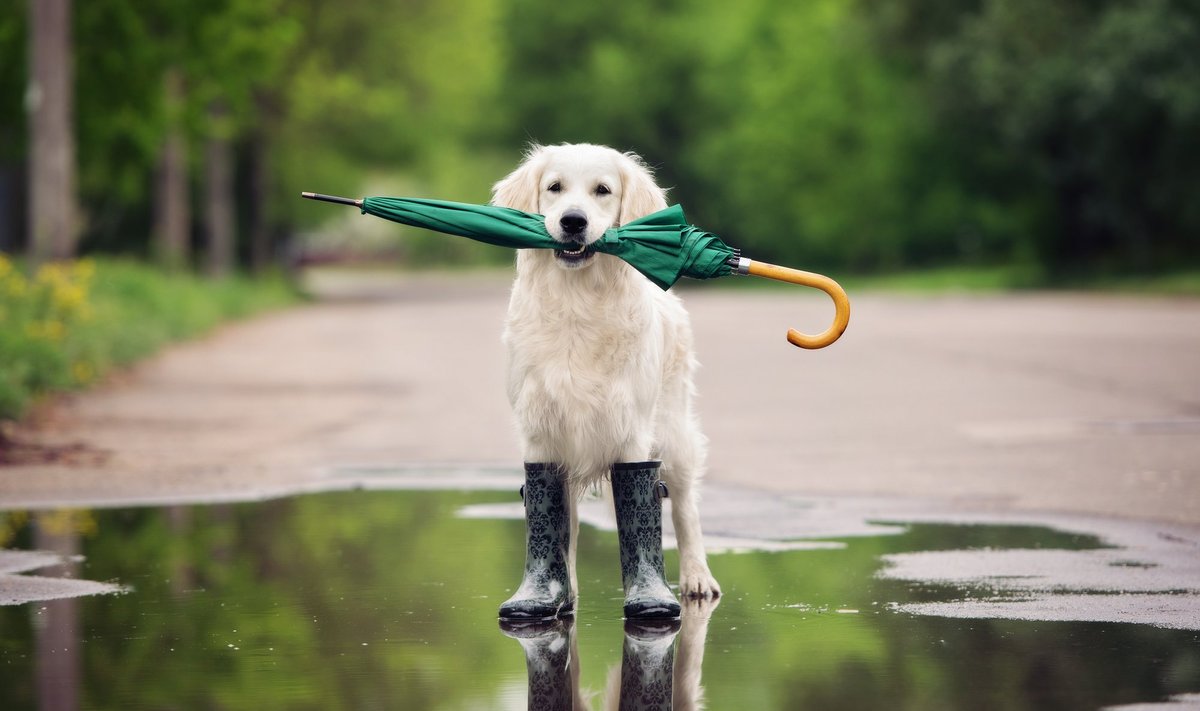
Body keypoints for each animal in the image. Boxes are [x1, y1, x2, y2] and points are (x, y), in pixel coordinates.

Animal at [489, 142, 715, 600]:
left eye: (603, 190)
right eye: (554, 187)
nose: (573, 221)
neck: (578, 303)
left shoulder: (631, 431)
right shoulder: (541, 432)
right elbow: (557, 522)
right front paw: (555, 592)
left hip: (674, 431)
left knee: (685, 506)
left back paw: (697, 577)